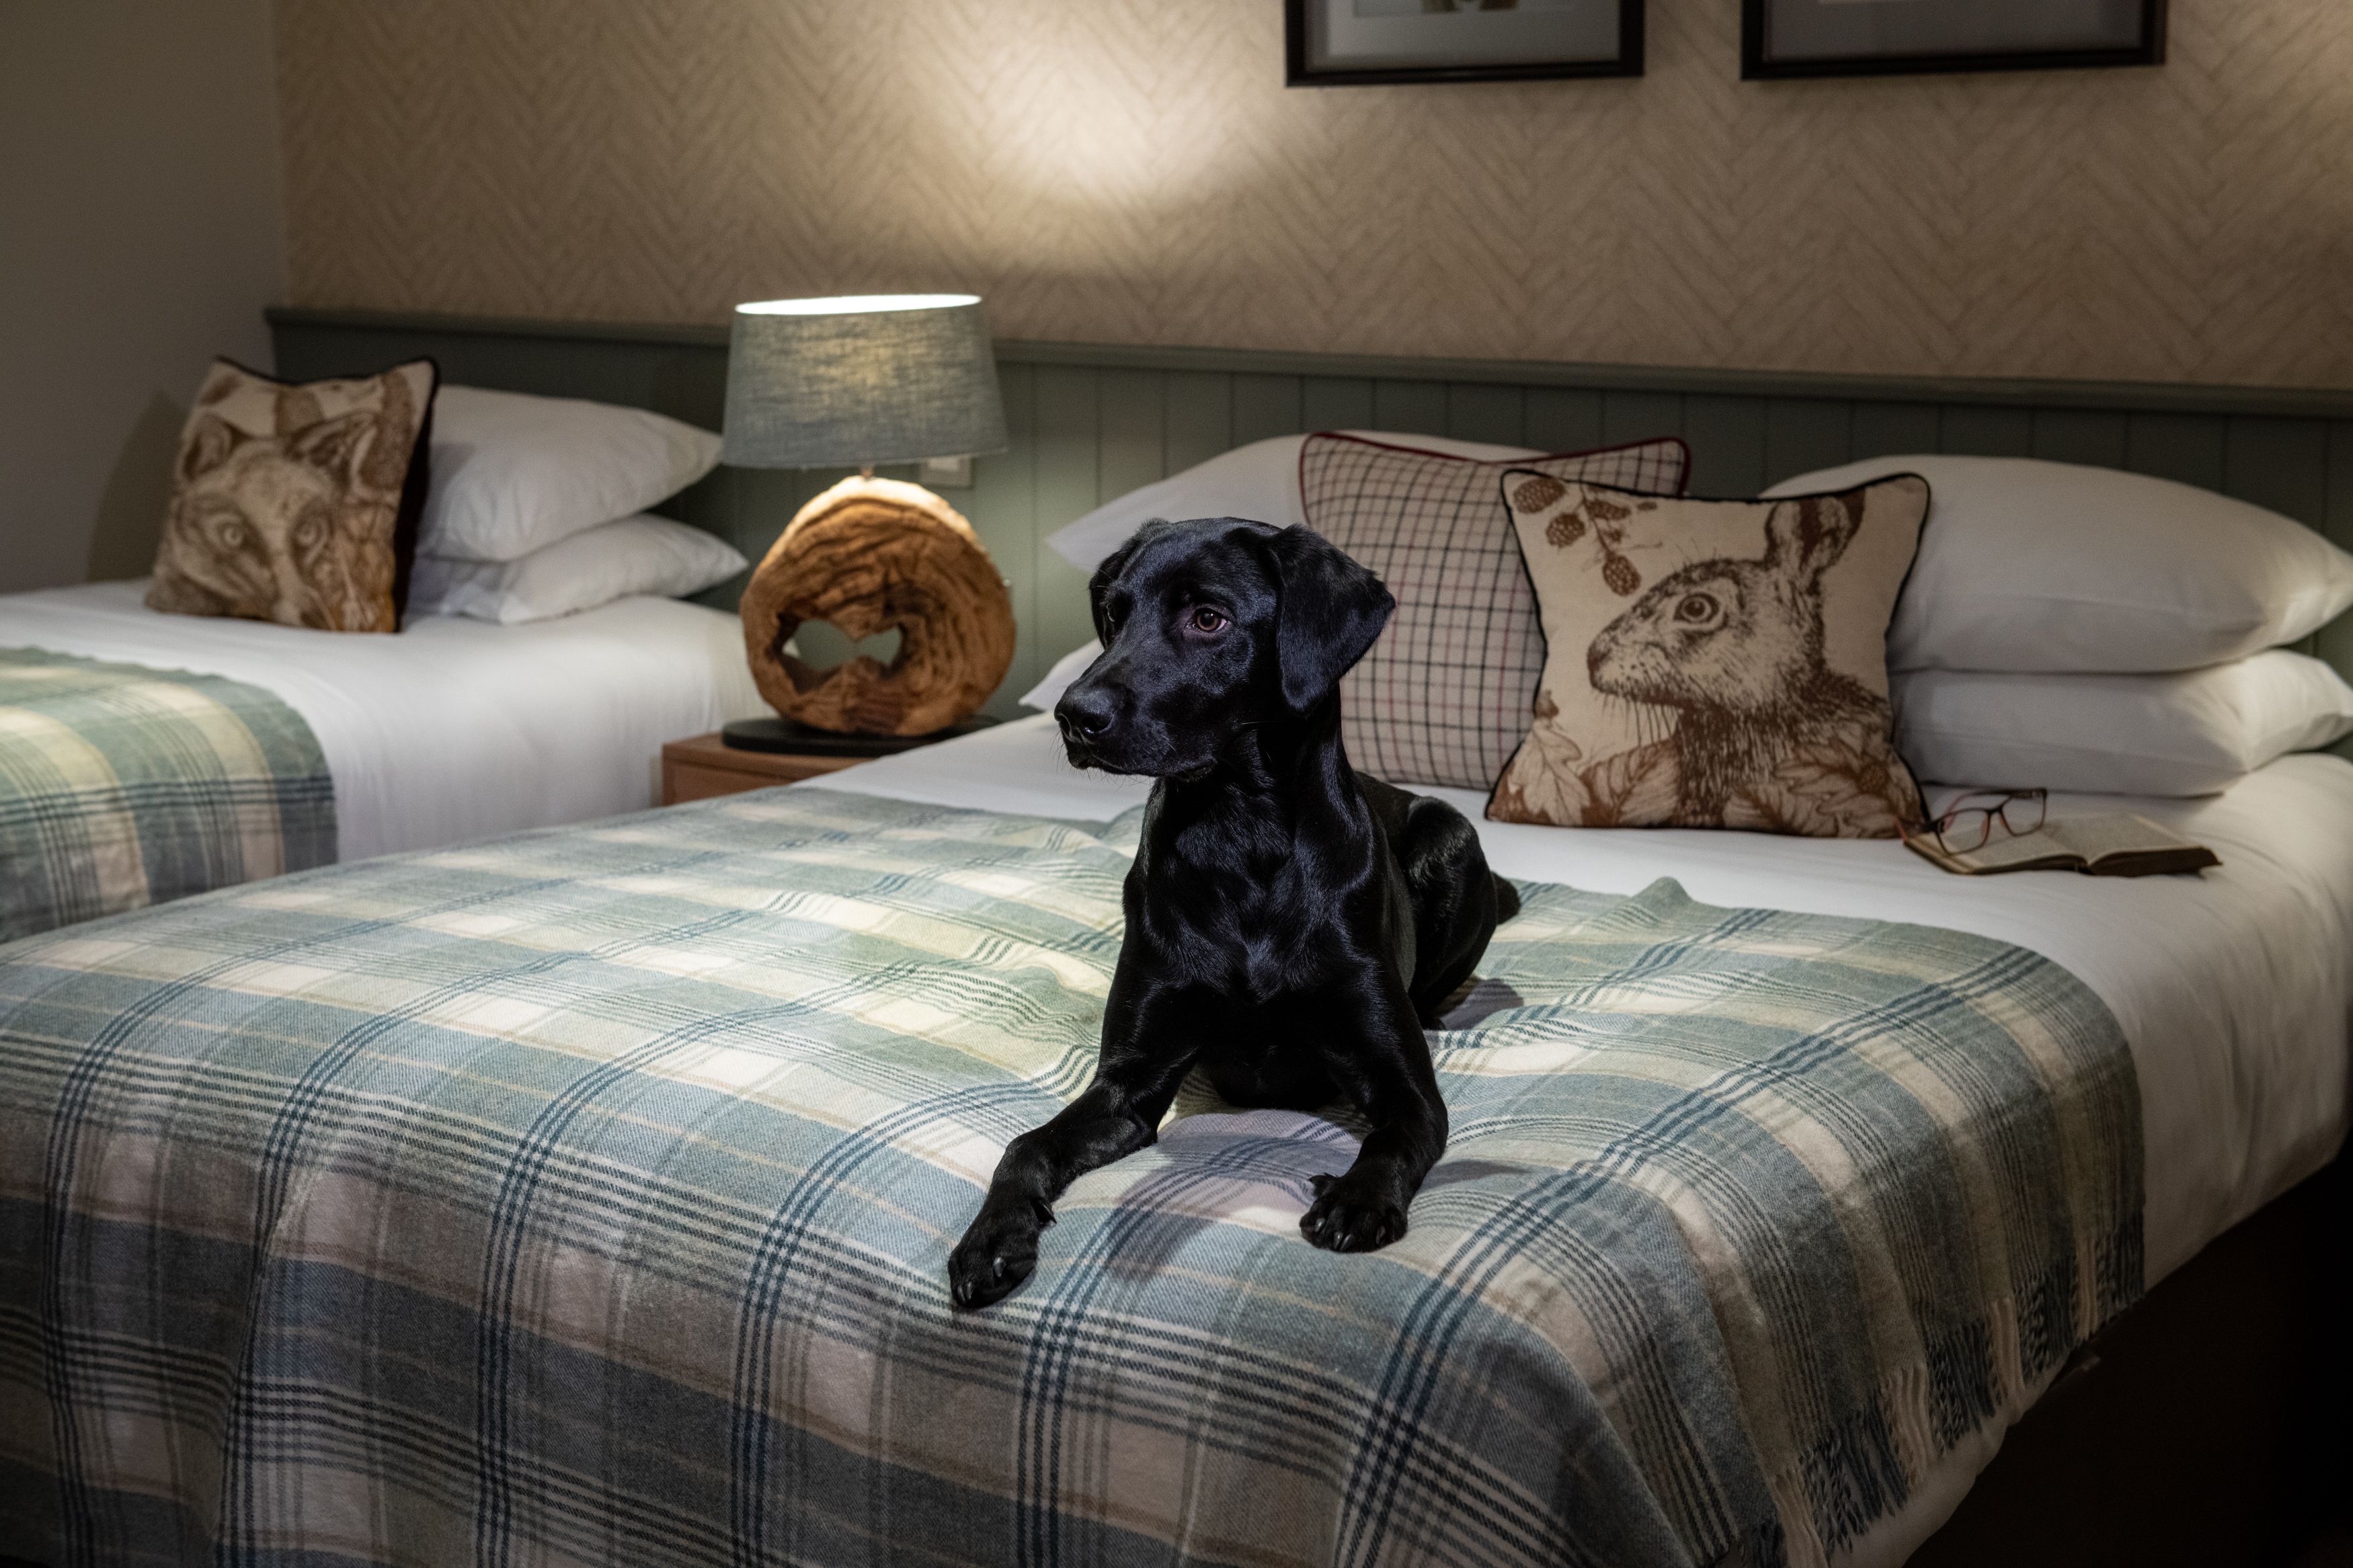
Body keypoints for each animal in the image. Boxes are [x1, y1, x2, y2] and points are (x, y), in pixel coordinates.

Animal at [946, 517, 1515, 1316]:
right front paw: (992, 1237)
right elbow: (1027, 1144)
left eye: (1208, 618)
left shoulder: (1403, 1084)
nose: (1073, 716)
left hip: (1451, 832)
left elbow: (1394, 1136)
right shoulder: (1128, 1084)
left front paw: (1356, 1199)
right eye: (1114, 614)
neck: (1237, 833)